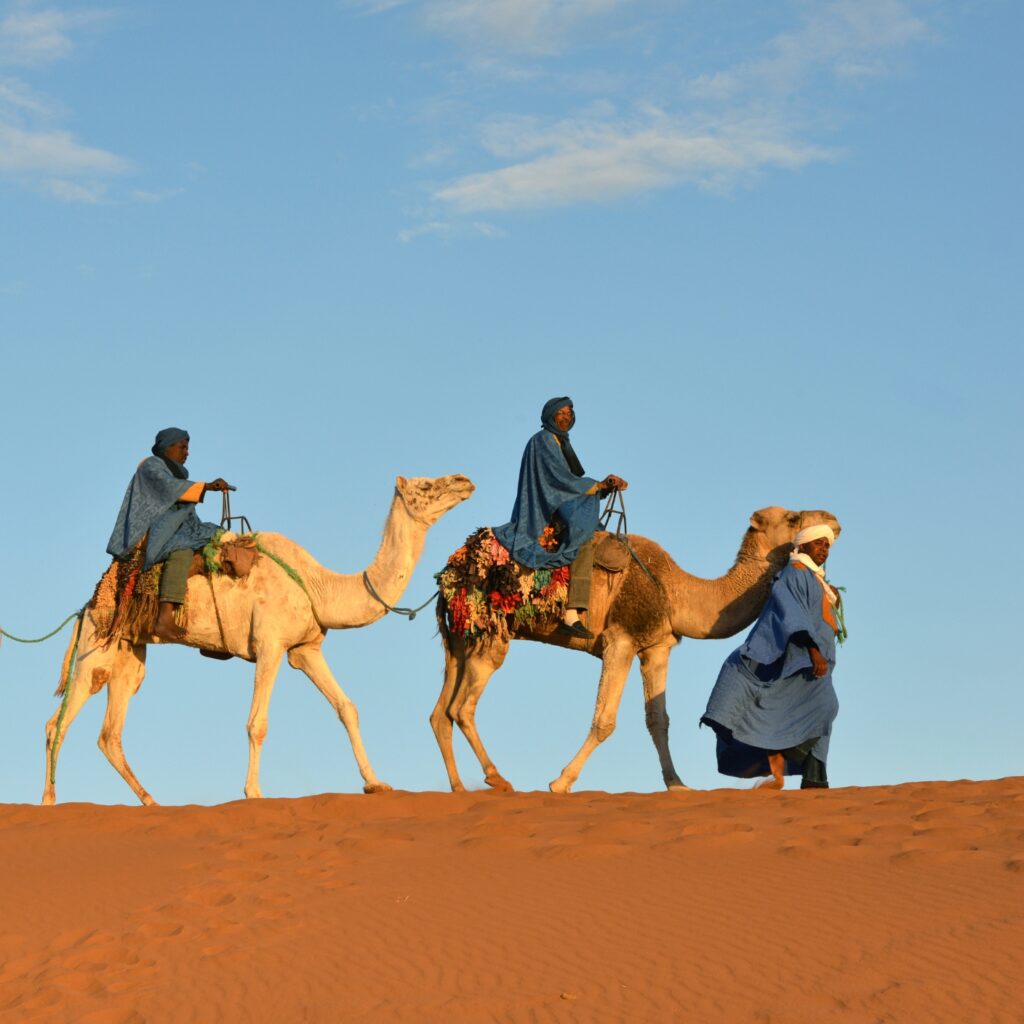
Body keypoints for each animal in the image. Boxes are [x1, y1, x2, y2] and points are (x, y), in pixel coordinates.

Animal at [43, 474, 475, 805]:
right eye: (425, 484)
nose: (463, 480)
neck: (318, 586)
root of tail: (87, 605)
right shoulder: (269, 645)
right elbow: (257, 723)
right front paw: (253, 792)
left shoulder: (305, 649)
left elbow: (347, 707)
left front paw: (376, 783)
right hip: (96, 647)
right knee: (57, 724)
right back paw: (48, 801)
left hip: (128, 654)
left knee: (110, 733)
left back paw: (151, 801)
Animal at [430, 506, 840, 794]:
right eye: (793, 517)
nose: (834, 522)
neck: (675, 591)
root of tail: (450, 571)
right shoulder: (620, 641)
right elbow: (604, 720)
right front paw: (560, 782)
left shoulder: (656, 646)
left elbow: (659, 720)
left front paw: (678, 785)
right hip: (491, 634)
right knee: (462, 708)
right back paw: (497, 779)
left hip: (459, 640)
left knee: (441, 713)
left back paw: (459, 788)